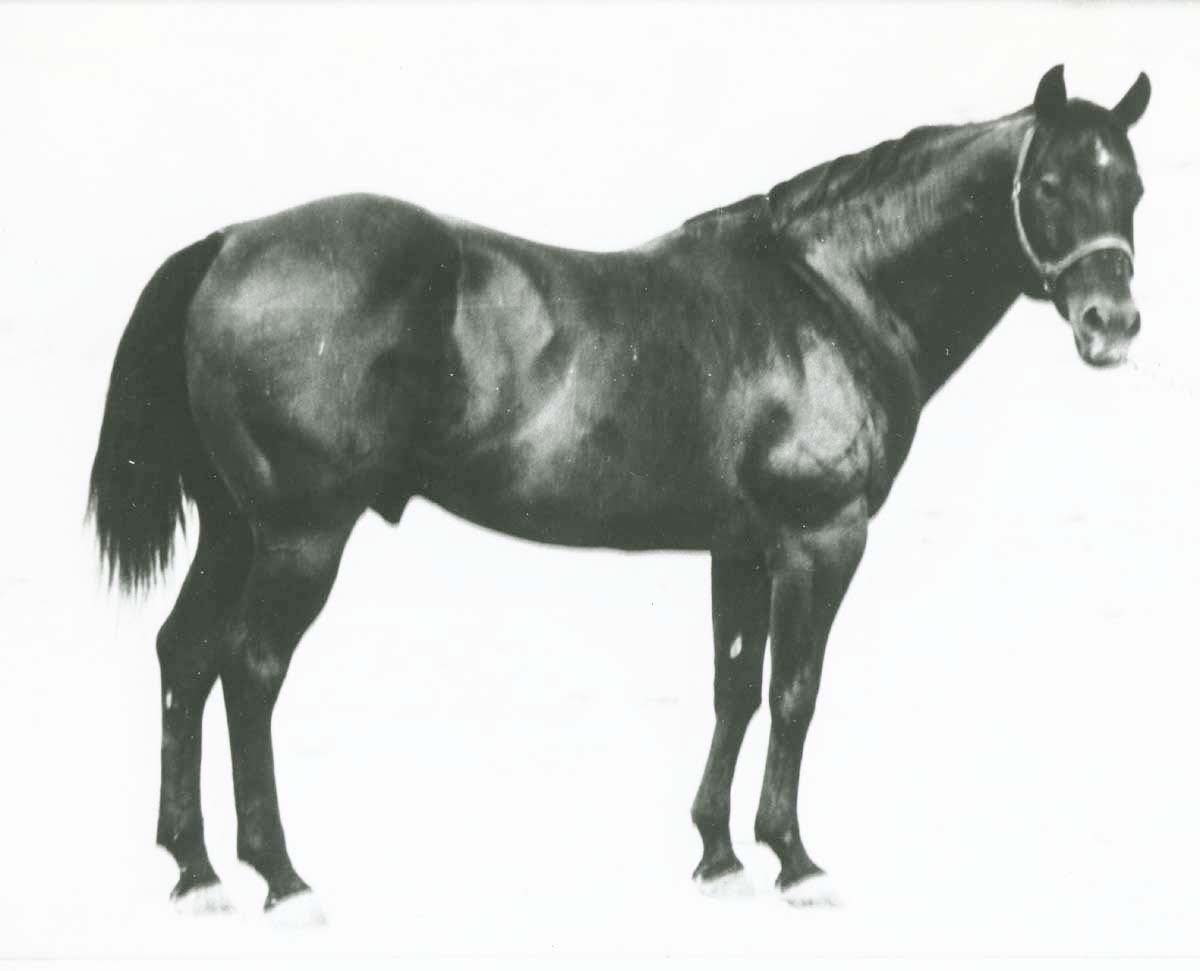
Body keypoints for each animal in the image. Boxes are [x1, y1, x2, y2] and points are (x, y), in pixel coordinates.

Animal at [88, 65, 1150, 919]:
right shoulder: (821, 539)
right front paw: (796, 860)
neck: (826, 294)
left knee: (185, 656)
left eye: (1134, 184)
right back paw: (281, 877)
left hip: (236, 530)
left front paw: (720, 856)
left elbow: (735, 686)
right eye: (1048, 182)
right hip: (301, 535)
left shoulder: (742, 546)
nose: (1112, 322)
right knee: (250, 668)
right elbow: (795, 690)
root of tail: (230, 242)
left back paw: (196, 872)